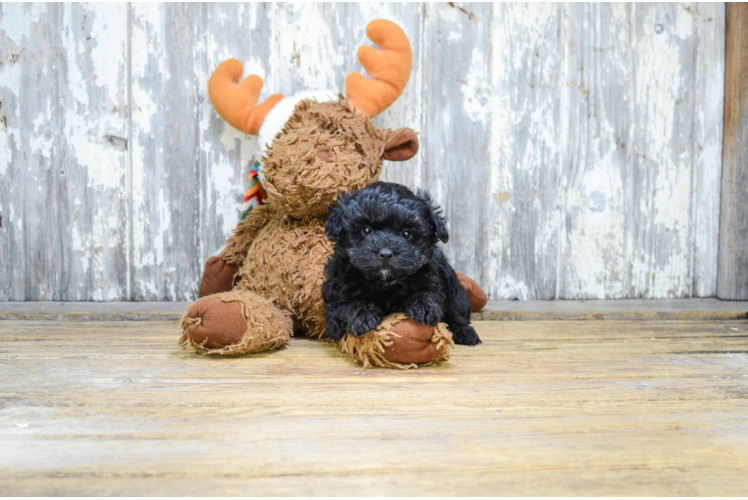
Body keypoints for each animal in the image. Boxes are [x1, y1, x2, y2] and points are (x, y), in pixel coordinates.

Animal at [320, 182, 480, 346]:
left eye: (406, 234)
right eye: (366, 230)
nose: (385, 253)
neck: (385, 283)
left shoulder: (431, 279)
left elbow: (428, 292)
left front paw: (423, 306)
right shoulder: (336, 297)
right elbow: (346, 305)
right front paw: (362, 314)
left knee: (455, 312)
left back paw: (464, 332)